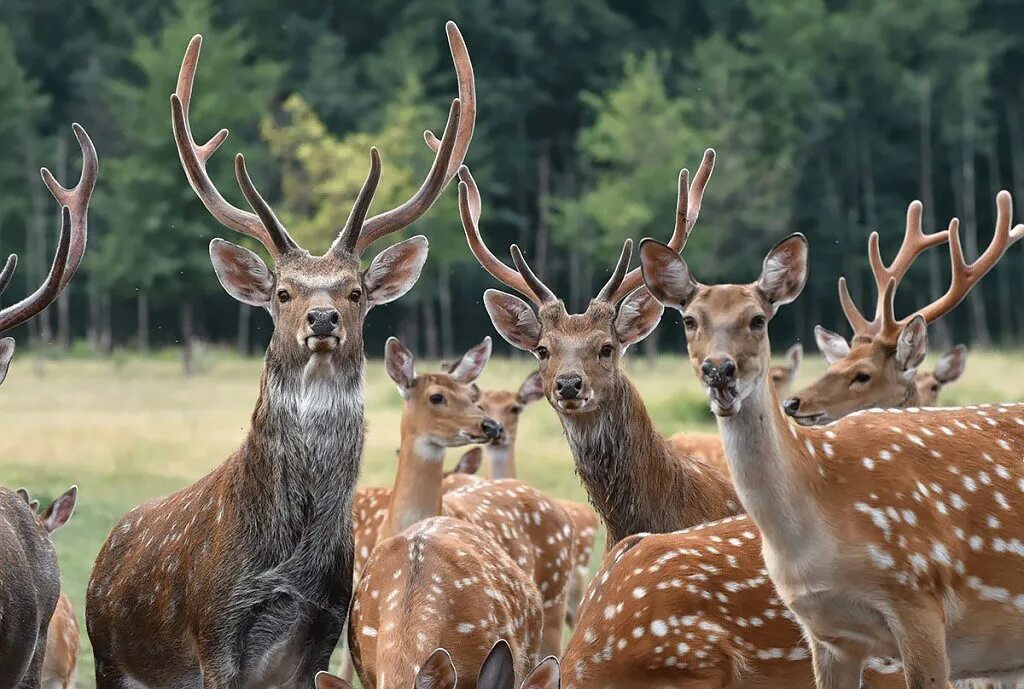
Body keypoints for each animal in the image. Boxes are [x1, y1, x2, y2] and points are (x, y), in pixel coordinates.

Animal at [86, 22, 473, 687]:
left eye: (356, 291)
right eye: (283, 292)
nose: (322, 318)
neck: (286, 561)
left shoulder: (324, 625)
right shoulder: (215, 628)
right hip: (111, 659)